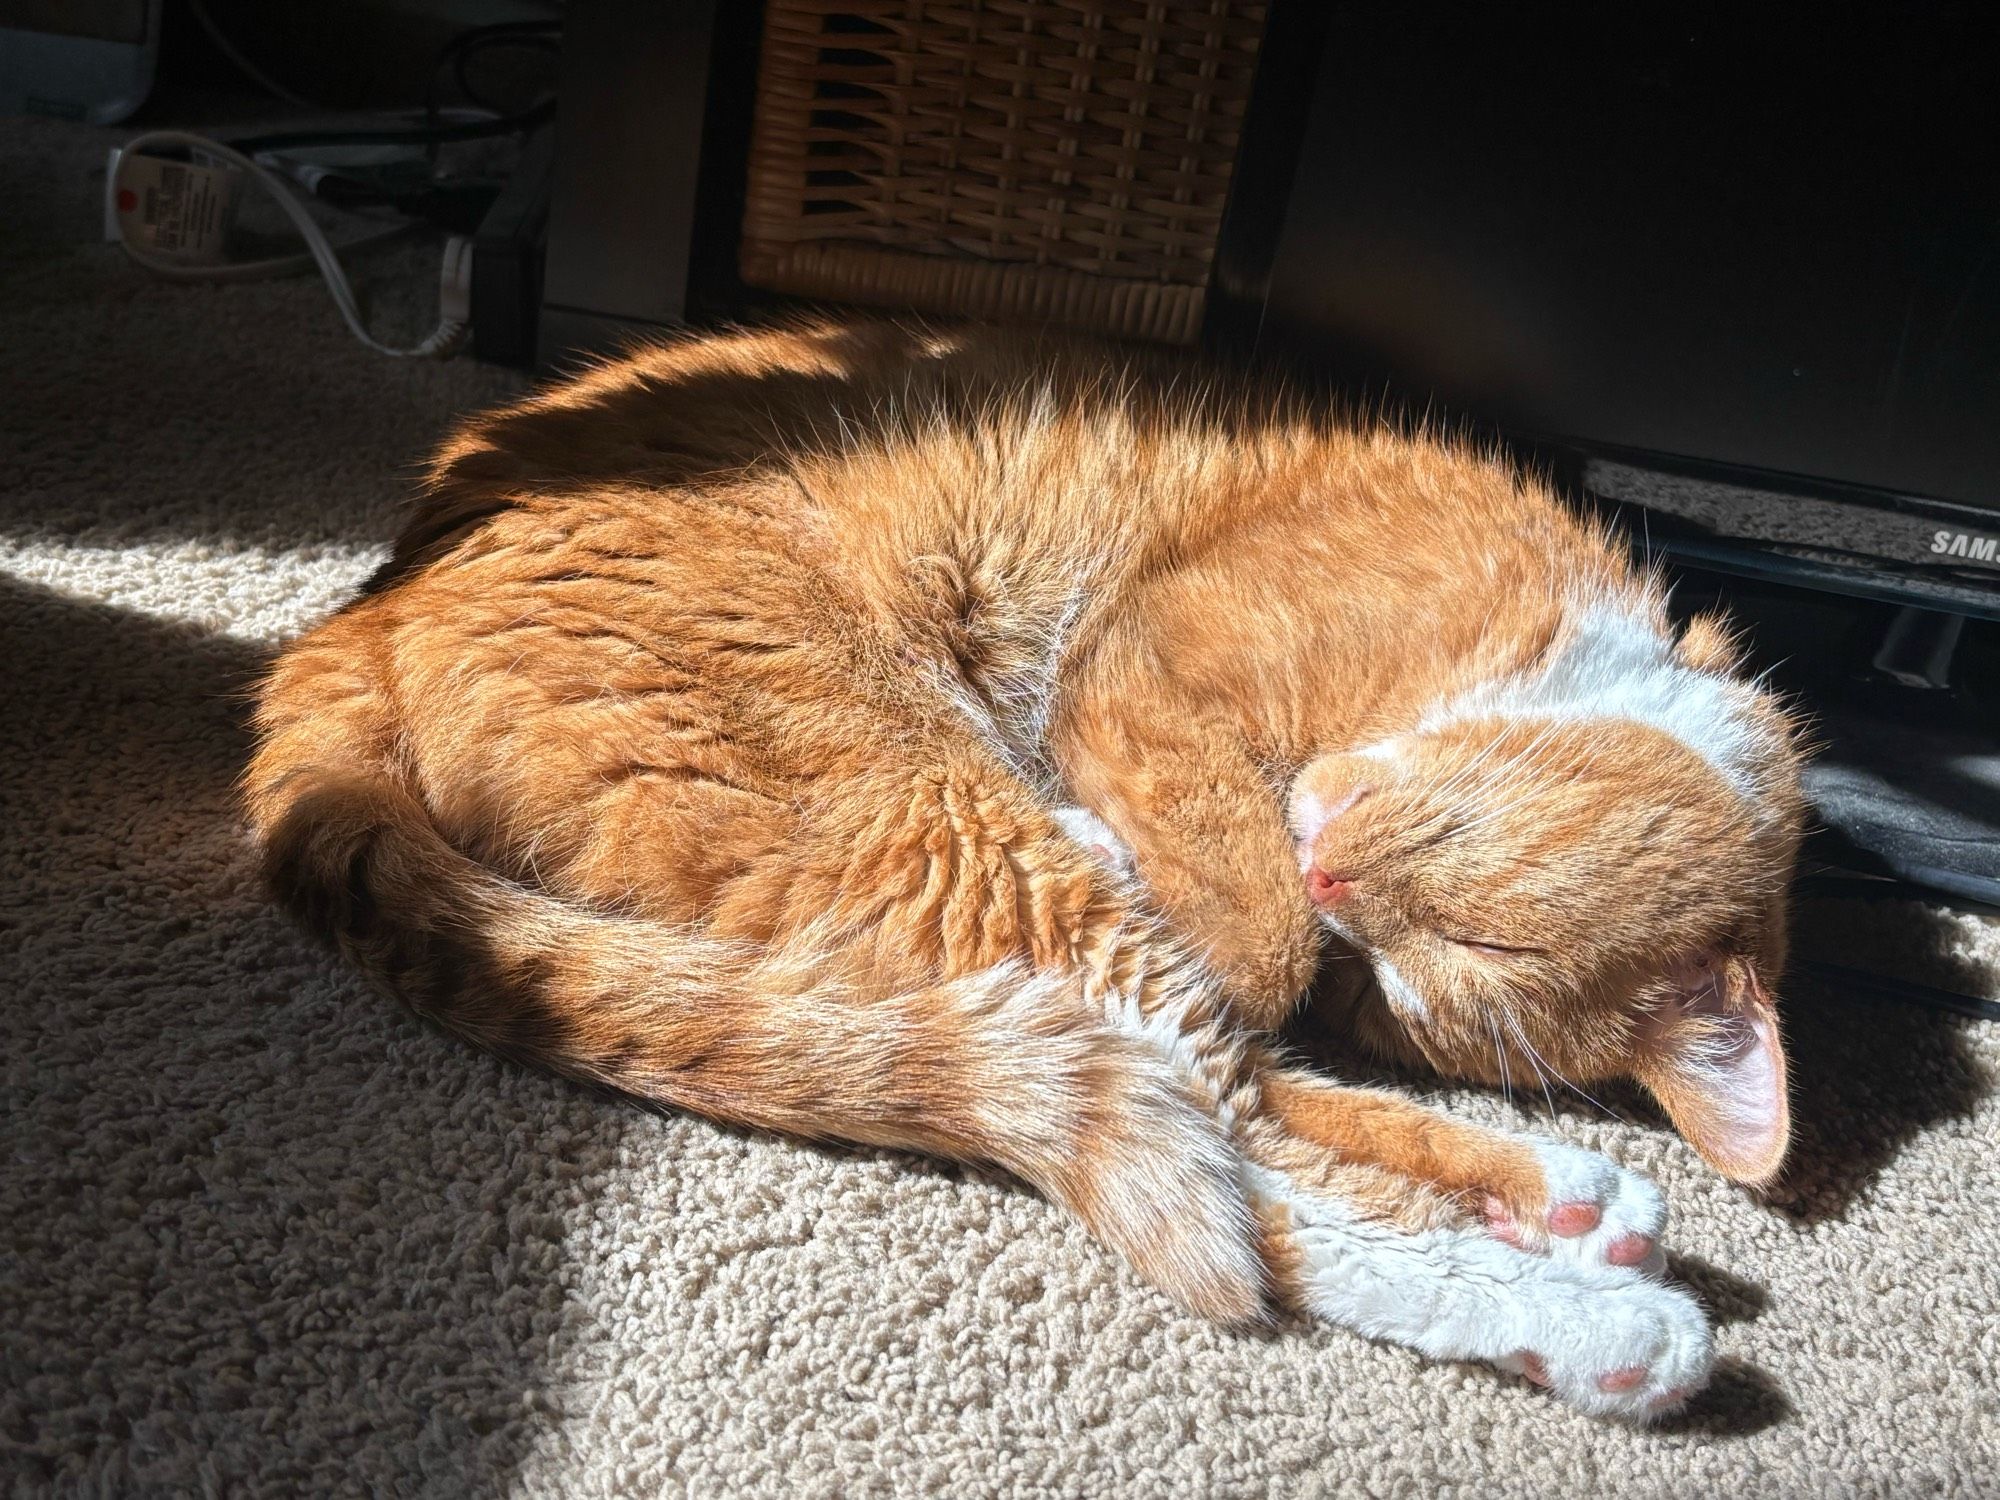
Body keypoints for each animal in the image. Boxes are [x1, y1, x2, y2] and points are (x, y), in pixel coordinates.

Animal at [250, 318, 1816, 1424]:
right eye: (1472, 946)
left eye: (1424, 980)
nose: (1334, 882)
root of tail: (361, 613)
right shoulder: (1156, 661)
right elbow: (1248, 946)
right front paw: (1227, 874)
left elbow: (1261, 995)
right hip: (927, 808)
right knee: (1229, 1145)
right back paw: (1595, 1319)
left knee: (1211, 1086)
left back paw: (1573, 1203)